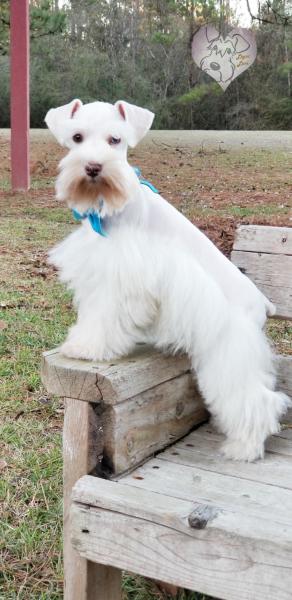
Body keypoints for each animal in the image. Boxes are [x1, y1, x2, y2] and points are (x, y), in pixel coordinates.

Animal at [45, 101, 290, 462]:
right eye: (77, 137)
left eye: (115, 139)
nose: (93, 166)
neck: (113, 206)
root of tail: (262, 304)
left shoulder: (123, 276)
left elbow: (104, 316)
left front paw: (87, 347)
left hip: (228, 355)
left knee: (255, 400)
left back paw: (243, 448)